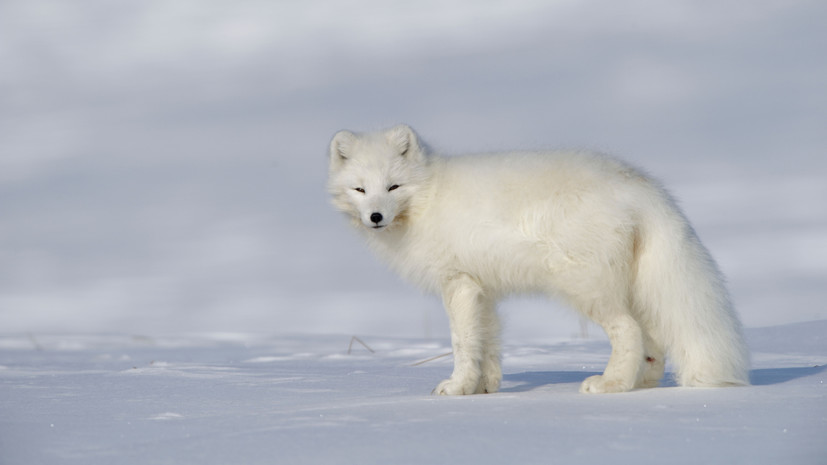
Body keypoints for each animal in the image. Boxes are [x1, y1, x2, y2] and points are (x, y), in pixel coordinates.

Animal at [328, 125, 752, 394]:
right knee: (653, 340)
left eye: (393, 187)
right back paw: (640, 383)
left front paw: (456, 387)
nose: (375, 217)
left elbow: (463, 343)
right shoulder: (483, 289)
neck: (427, 198)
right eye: (360, 189)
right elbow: (489, 342)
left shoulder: (458, 282)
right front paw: (485, 388)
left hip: (587, 287)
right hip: (630, 287)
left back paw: (611, 385)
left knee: (628, 330)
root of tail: (640, 185)